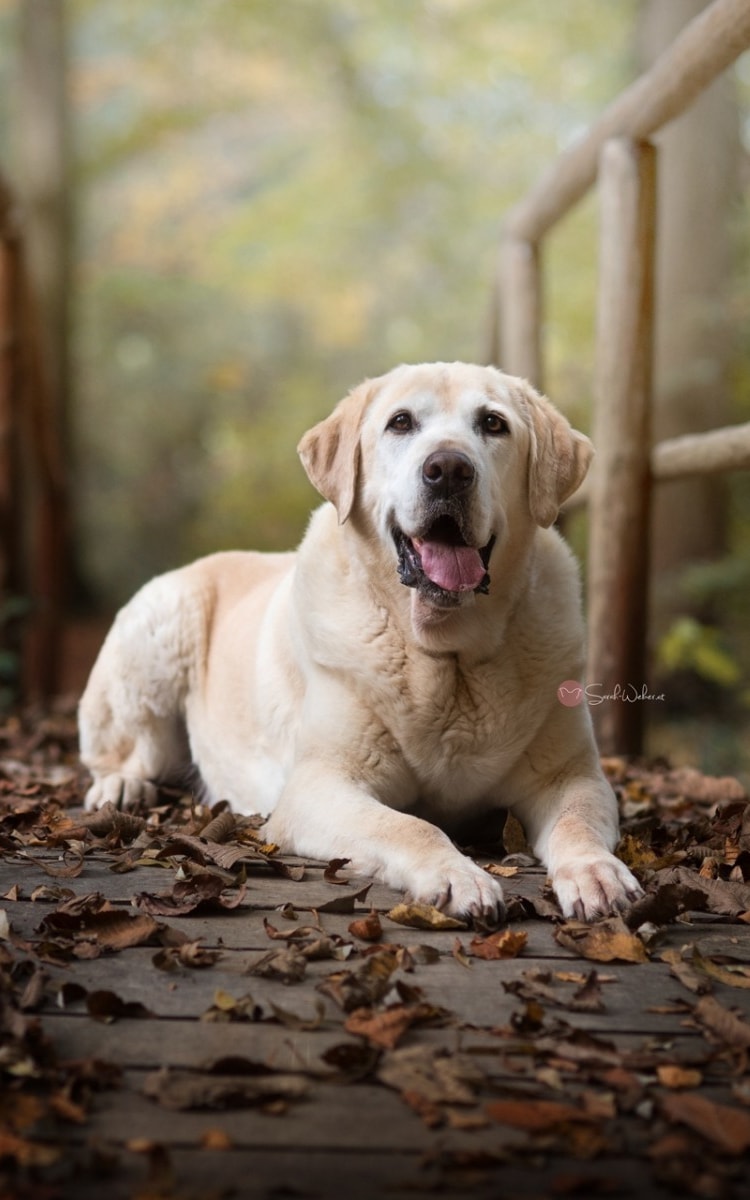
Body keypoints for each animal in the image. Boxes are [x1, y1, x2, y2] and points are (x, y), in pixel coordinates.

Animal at [81, 360, 643, 921]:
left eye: (493, 423)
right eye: (401, 422)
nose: (449, 469)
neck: (446, 656)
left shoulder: (571, 776)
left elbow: (576, 823)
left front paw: (596, 873)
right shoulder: (320, 784)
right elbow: (410, 824)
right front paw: (458, 875)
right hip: (161, 628)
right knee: (124, 750)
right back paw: (120, 786)